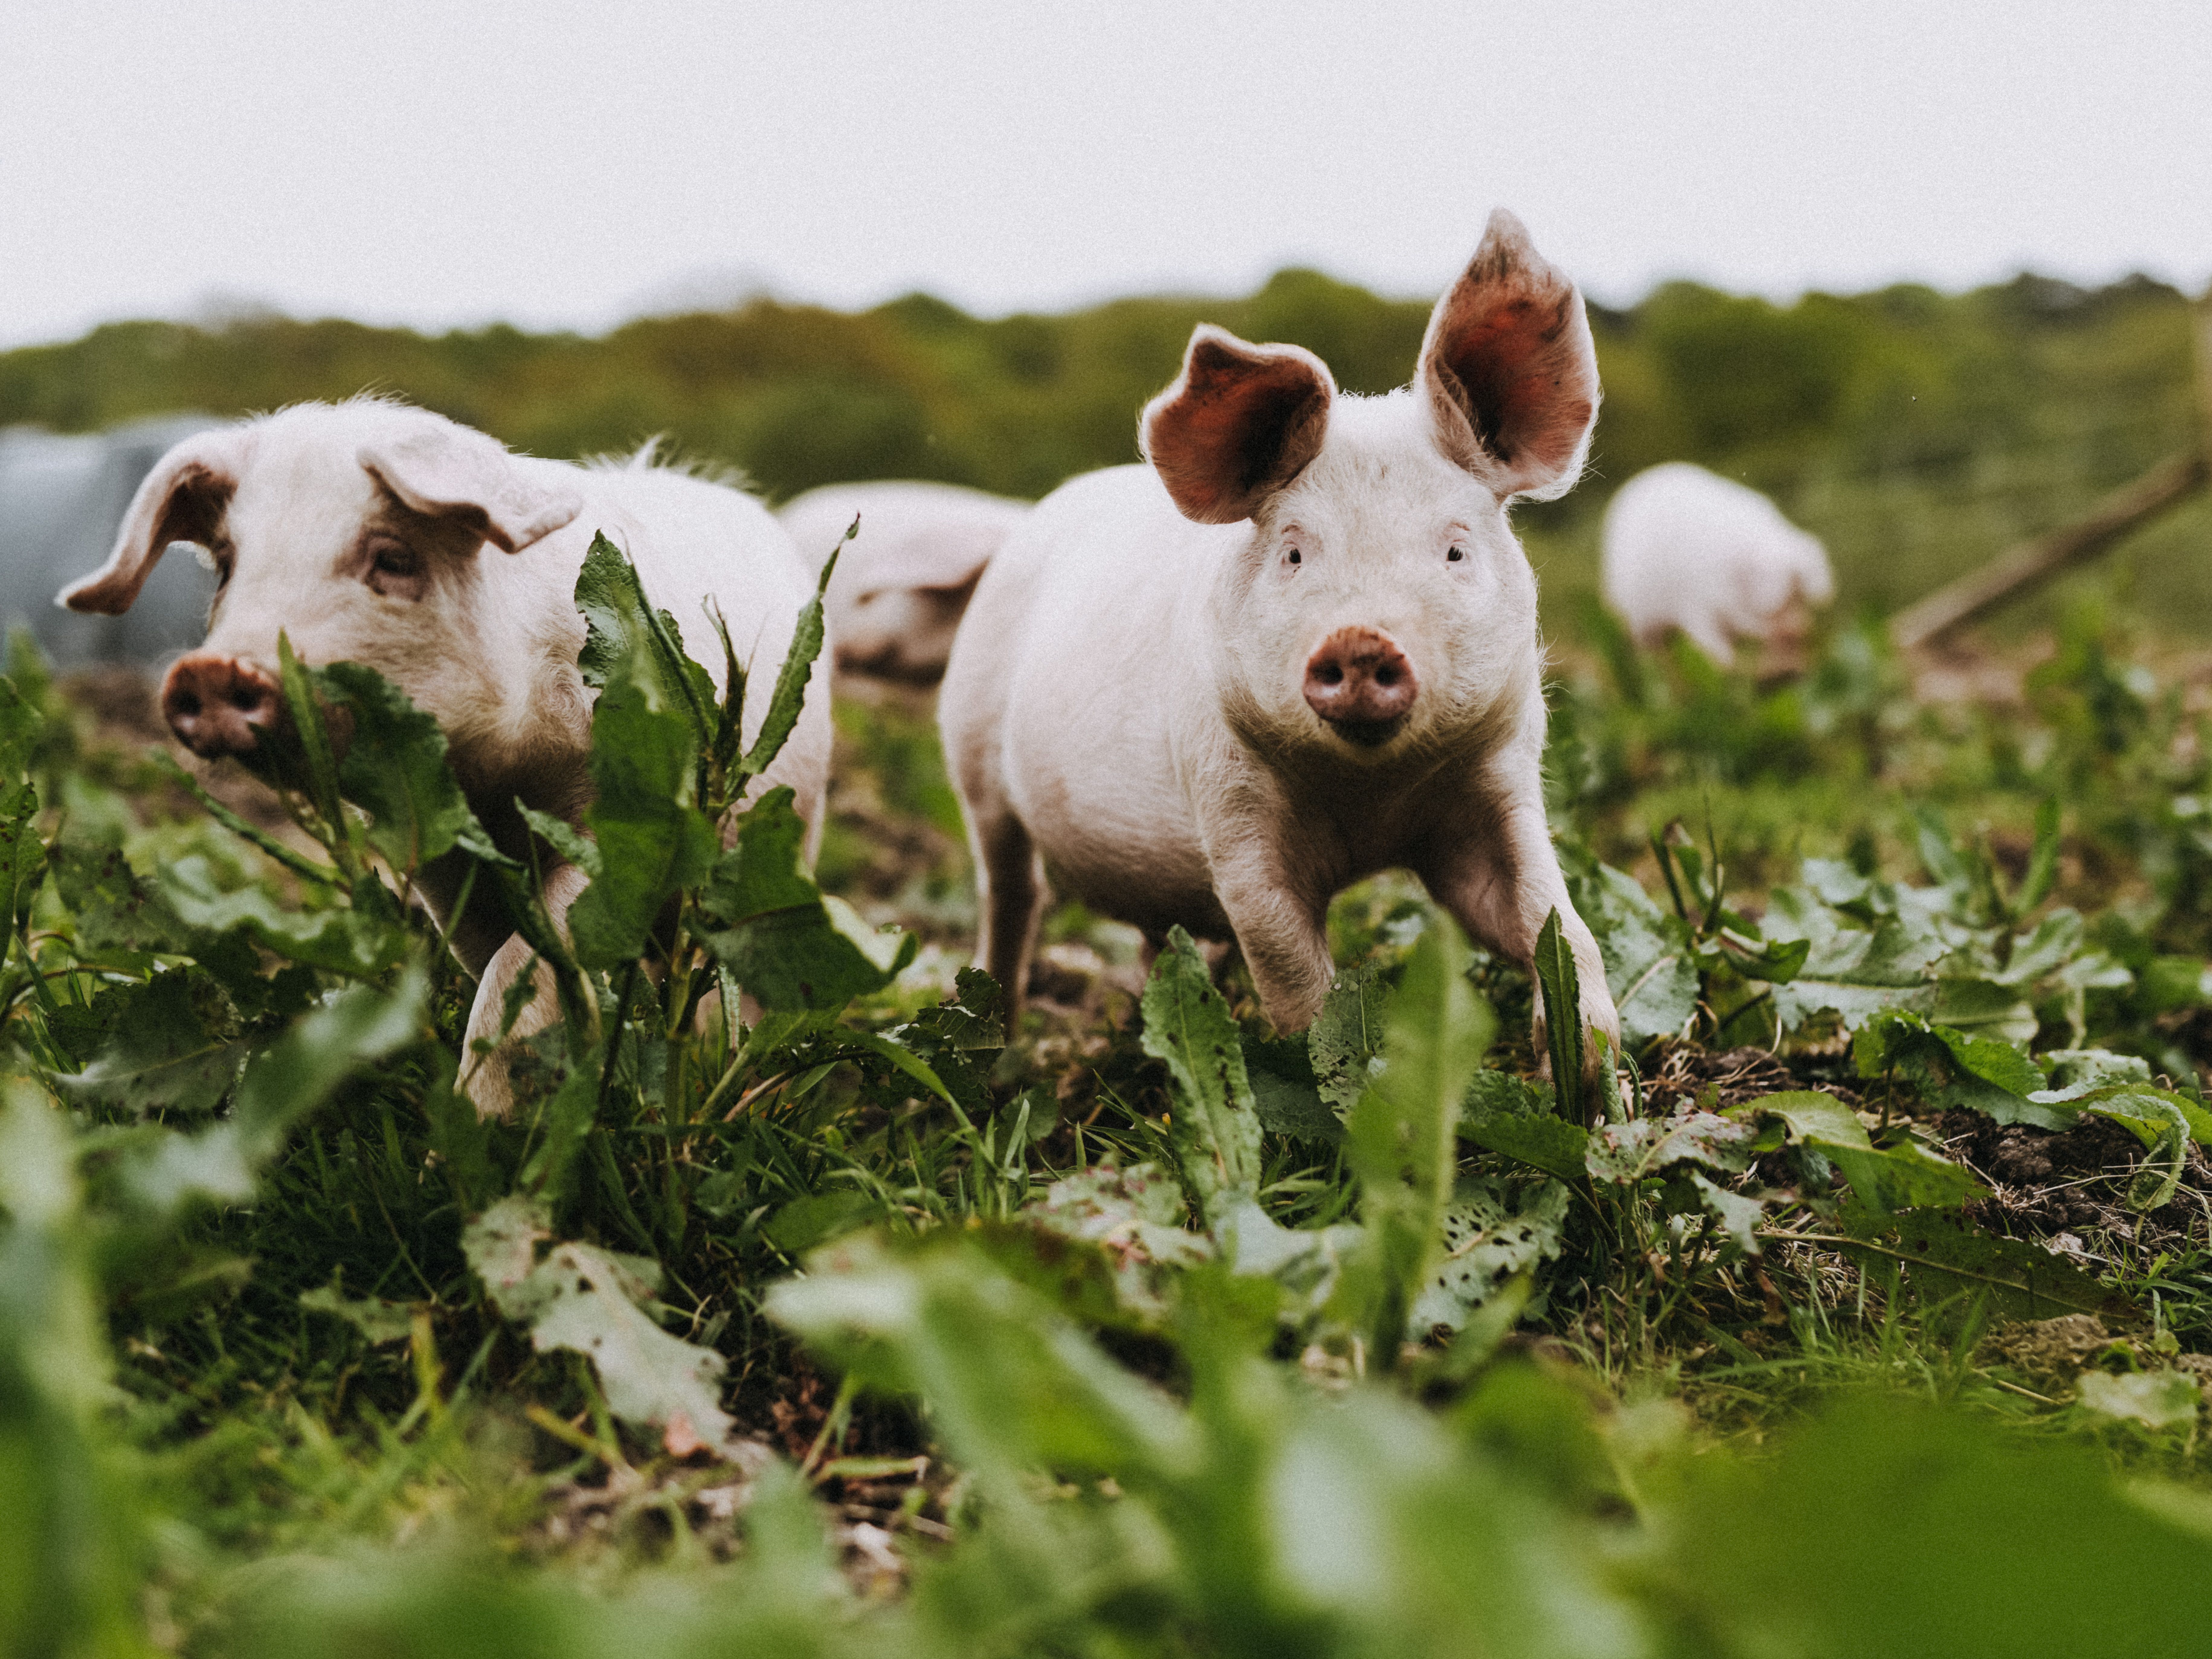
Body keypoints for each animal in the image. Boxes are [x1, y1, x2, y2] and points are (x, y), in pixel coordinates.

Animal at [56, 398, 832, 1113]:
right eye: (225, 569)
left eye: (394, 559)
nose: (214, 671)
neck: (492, 777)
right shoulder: (435, 846)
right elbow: (490, 951)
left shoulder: (617, 821)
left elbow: (532, 953)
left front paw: (476, 1119)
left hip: (788, 827)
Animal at [938, 209, 1621, 1061]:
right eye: (1294, 553)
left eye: (1456, 550)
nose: (1360, 640)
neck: (1370, 799)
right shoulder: (1228, 804)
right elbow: (1289, 965)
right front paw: (1334, 1070)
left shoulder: (1496, 777)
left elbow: (1547, 917)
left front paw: (1590, 1071)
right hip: (971, 750)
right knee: (1009, 889)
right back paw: (993, 1043)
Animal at [1599, 462, 1834, 661]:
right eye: (1783, 602)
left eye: (1800, 597)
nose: (1800, 631)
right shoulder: (1693, 606)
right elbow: (1716, 650)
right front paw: (1730, 669)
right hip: (1637, 617)